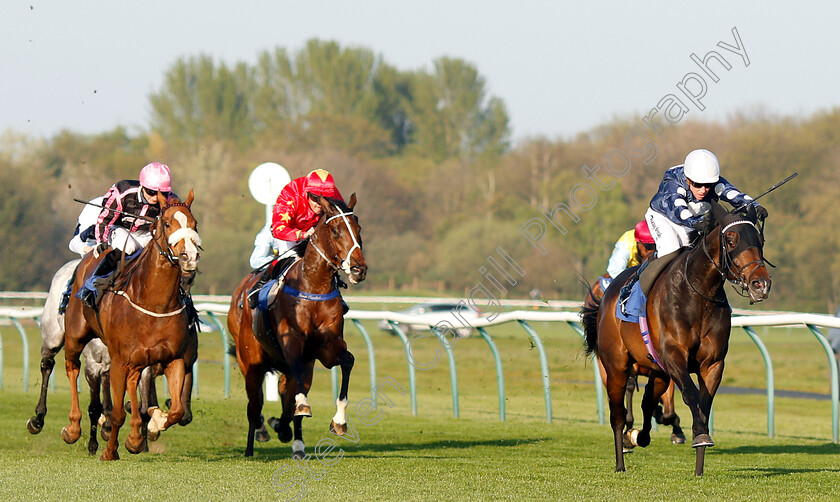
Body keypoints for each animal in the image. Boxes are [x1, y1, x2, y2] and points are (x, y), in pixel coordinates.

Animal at [60, 190, 202, 460]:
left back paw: (136, 436)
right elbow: (116, 413)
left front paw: (154, 424)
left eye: (194, 223)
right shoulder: (118, 360)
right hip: (75, 336)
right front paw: (109, 451)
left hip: (138, 361)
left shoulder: (174, 358)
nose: (189, 257)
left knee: (134, 383)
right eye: (167, 224)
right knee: (72, 368)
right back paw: (72, 428)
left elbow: (177, 410)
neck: (155, 304)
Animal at [226, 193, 368, 458]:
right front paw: (299, 409)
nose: (358, 269)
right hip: (250, 361)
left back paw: (293, 440)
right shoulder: (291, 340)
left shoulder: (326, 347)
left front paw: (339, 421)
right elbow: (295, 387)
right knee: (255, 405)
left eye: (358, 228)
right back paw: (252, 444)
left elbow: (347, 361)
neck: (313, 286)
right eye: (335, 230)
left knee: (287, 396)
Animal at [580, 208, 772, 474]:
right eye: (731, 240)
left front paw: (699, 457)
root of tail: (608, 294)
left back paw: (640, 436)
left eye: (760, 240)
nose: (760, 284)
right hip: (616, 365)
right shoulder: (673, 357)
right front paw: (697, 436)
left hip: (658, 371)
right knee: (618, 412)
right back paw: (621, 460)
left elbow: (703, 404)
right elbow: (690, 395)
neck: (698, 294)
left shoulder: (712, 364)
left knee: (647, 401)